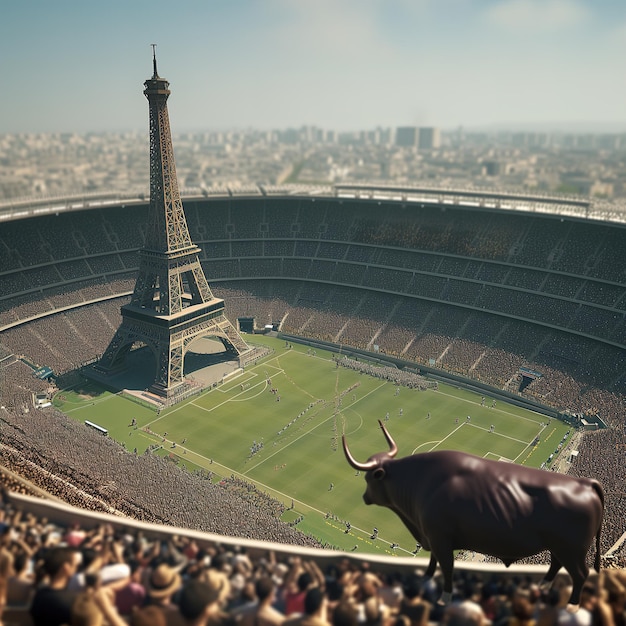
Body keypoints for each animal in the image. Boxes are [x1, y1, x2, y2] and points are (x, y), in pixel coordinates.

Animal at [344, 420, 604, 604]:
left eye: (369, 478)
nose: (364, 497)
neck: (421, 482)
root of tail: (586, 483)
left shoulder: (440, 538)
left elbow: (447, 566)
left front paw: (445, 596)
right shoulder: (431, 535)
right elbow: (433, 561)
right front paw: (426, 577)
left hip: (573, 550)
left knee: (580, 574)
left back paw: (572, 605)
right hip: (560, 547)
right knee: (557, 565)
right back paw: (542, 586)